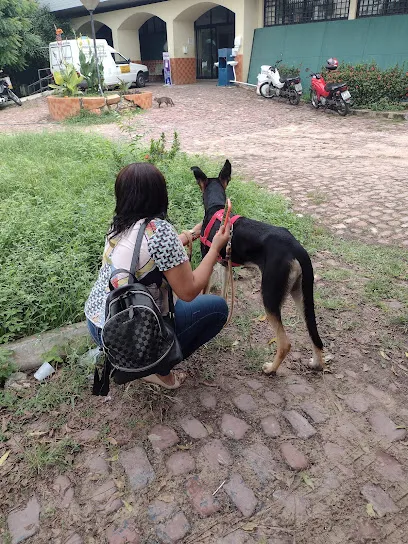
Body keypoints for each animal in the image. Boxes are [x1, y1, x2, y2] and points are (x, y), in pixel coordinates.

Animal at [192, 159, 326, 376]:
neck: (217, 208)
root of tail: (297, 248)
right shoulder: (226, 265)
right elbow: (224, 292)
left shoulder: (209, 264)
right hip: (302, 295)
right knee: (314, 334)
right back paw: (316, 363)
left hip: (270, 296)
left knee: (285, 343)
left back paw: (271, 369)